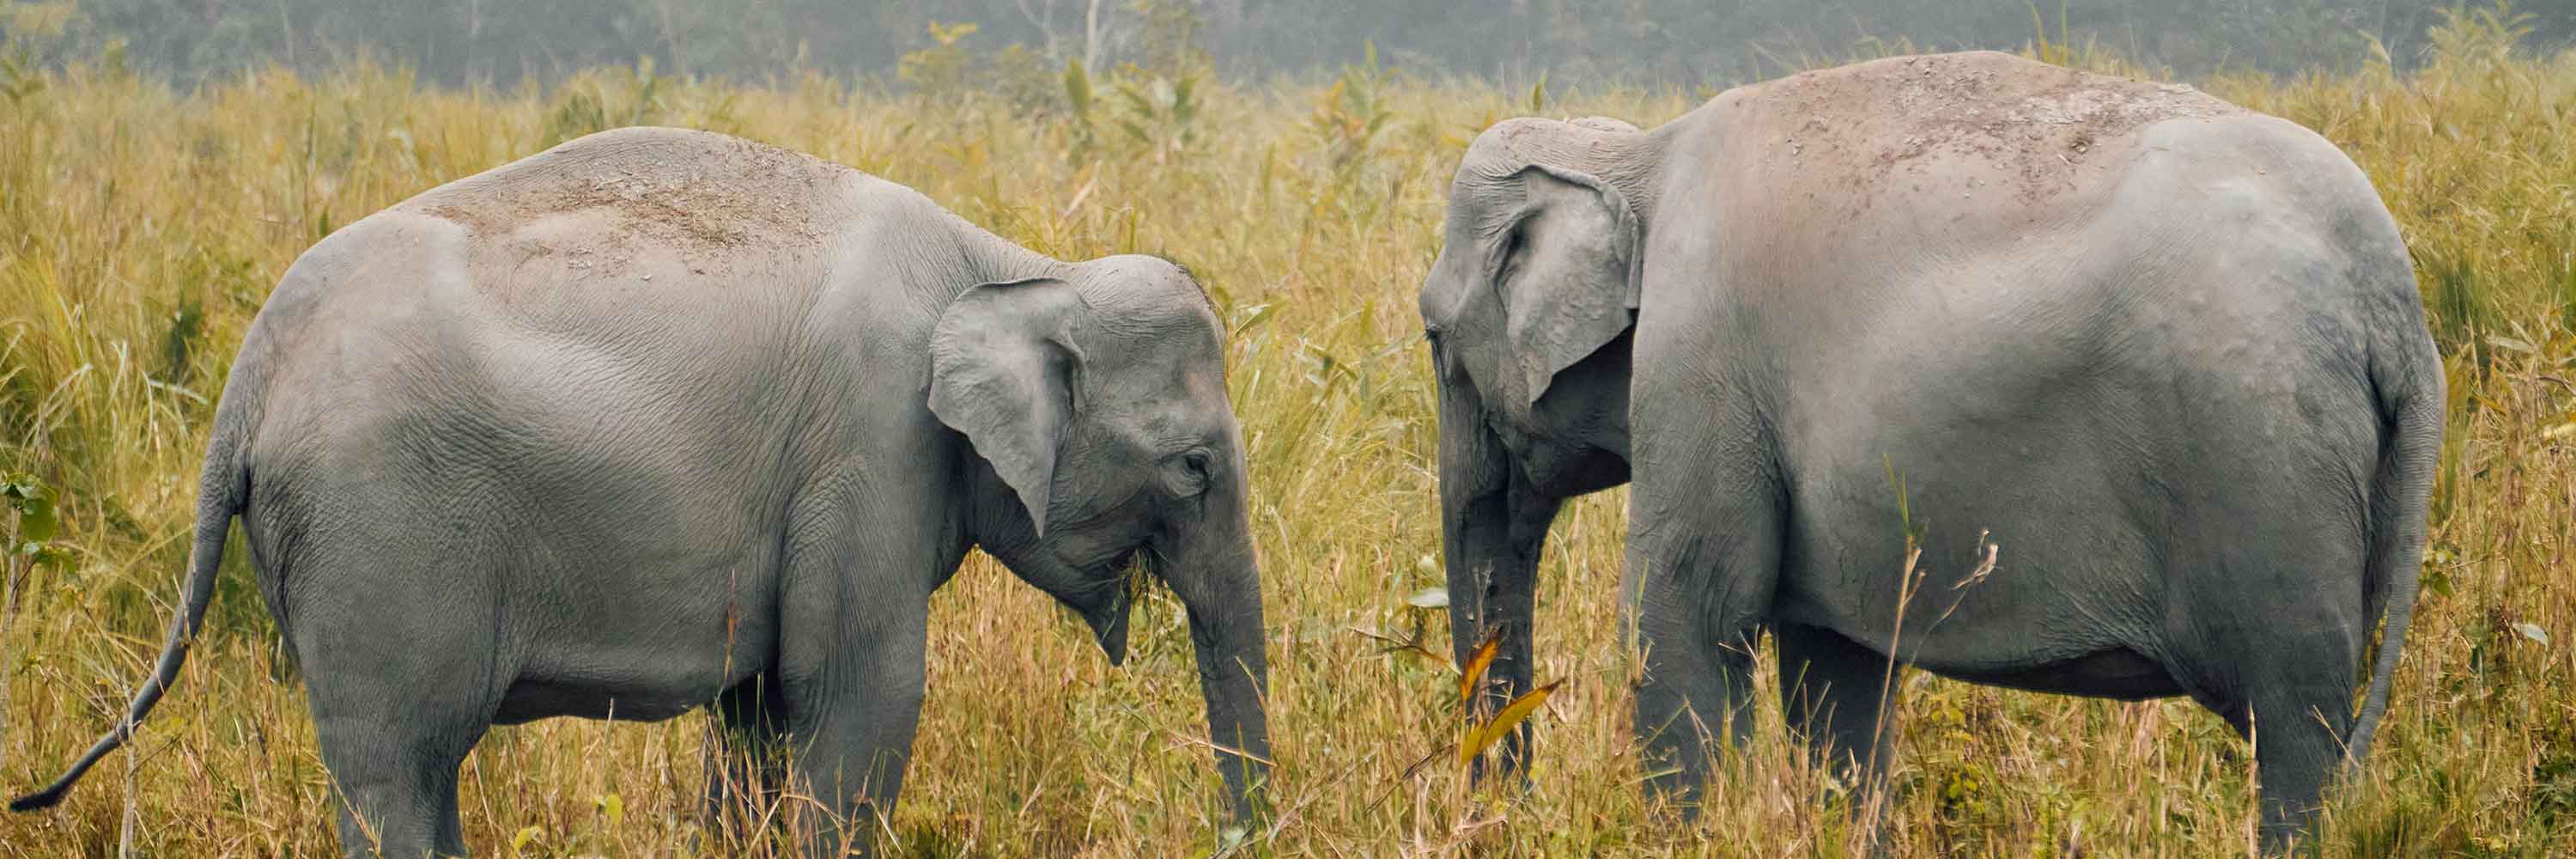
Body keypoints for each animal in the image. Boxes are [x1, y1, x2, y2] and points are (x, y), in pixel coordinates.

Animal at [9, 126, 1270, 857]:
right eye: (1195, 466)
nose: (1236, 835)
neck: (1011, 262)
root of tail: (255, 361)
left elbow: (760, 711)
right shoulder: (870, 448)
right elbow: (861, 699)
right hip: (383, 533)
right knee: (394, 765)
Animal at [1418, 51, 2440, 848]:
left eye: (1432, 333)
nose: (1501, 820)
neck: (1638, 154)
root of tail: (2392, 301)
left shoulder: (1699, 359)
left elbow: (1689, 616)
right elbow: (1834, 674)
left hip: (2264, 475)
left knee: (2296, 730)